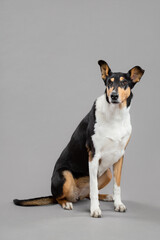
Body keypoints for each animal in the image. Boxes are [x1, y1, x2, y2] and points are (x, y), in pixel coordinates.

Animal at [13, 60, 145, 218]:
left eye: (124, 82)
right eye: (109, 82)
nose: (113, 95)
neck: (115, 115)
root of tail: (77, 194)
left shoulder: (119, 156)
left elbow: (117, 186)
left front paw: (118, 204)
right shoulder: (93, 156)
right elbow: (93, 187)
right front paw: (95, 210)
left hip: (107, 173)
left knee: (87, 194)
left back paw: (106, 197)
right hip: (65, 174)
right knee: (60, 197)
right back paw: (66, 203)